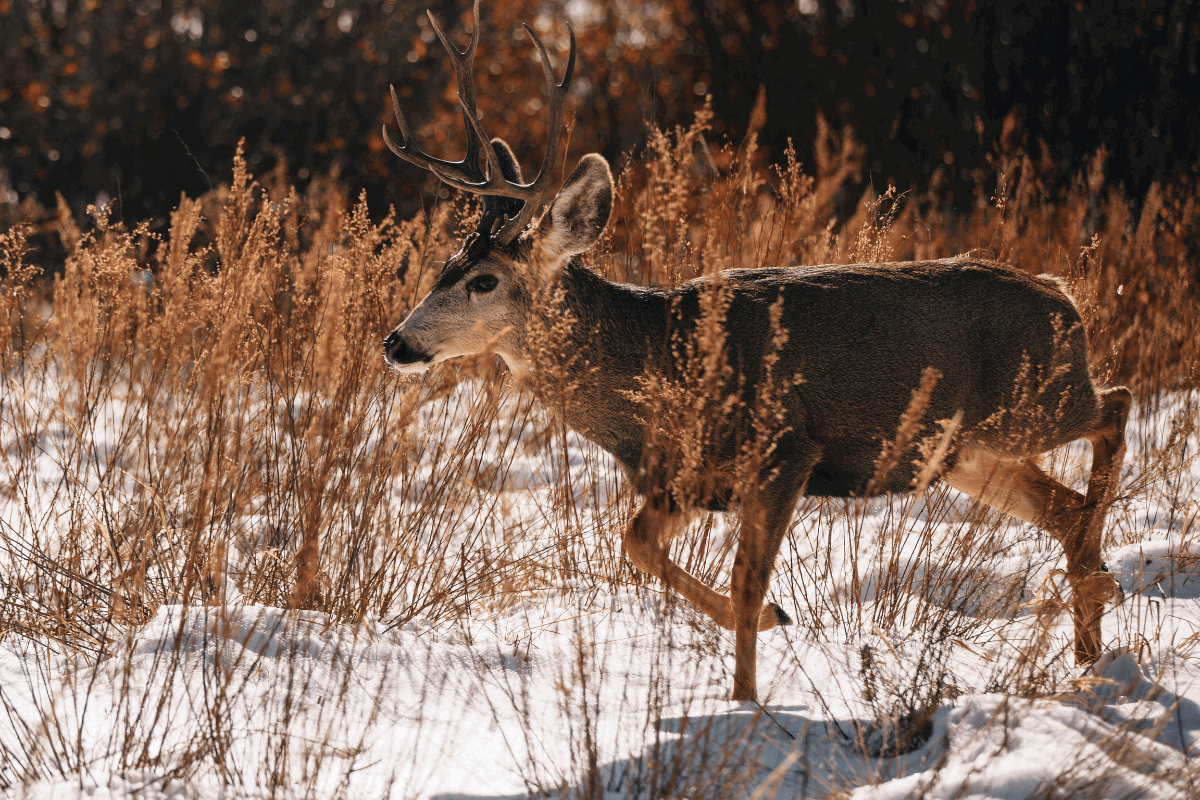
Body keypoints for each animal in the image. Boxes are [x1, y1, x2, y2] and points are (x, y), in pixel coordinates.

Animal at [379, 1, 1128, 700]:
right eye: (445, 264)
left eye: (483, 280)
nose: (396, 342)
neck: (663, 359)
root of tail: (1063, 295)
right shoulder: (688, 478)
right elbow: (637, 543)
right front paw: (773, 624)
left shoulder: (784, 449)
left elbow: (743, 581)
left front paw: (747, 697)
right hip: (964, 452)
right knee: (1065, 507)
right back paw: (1089, 640)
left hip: (1033, 403)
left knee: (1115, 406)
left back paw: (1098, 587)